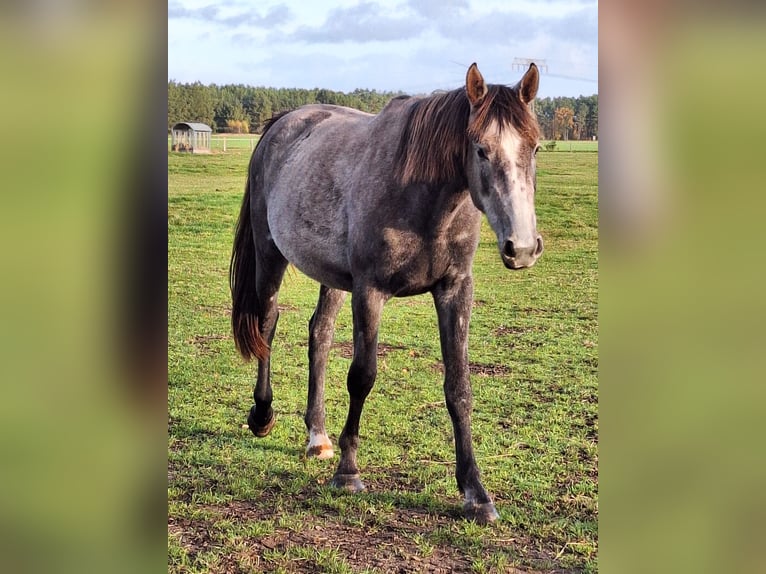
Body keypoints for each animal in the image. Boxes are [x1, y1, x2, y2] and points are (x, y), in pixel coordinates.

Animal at [231, 63, 544, 528]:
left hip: (331, 277)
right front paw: (349, 473)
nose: (521, 248)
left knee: (320, 335)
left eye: (536, 148)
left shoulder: (455, 290)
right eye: (480, 149)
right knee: (266, 326)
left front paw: (476, 493)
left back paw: (317, 435)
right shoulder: (369, 290)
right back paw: (263, 415)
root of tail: (284, 123)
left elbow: (459, 387)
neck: (425, 201)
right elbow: (362, 377)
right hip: (271, 255)